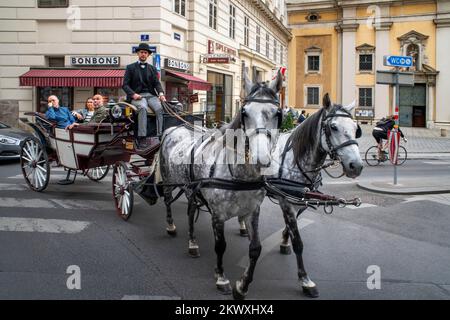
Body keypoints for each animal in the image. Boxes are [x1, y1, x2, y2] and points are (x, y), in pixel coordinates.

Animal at [157, 72, 282, 298]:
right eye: (244, 112)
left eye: (278, 113)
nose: (260, 158)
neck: (240, 176)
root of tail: (175, 127)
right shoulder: (218, 214)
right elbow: (220, 245)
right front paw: (221, 278)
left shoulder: (252, 211)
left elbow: (256, 248)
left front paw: (242, 286)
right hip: (169, 179)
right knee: (168, 200)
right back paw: (171, 226)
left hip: (191, 188)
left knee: (190, 211)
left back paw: (193, 243)